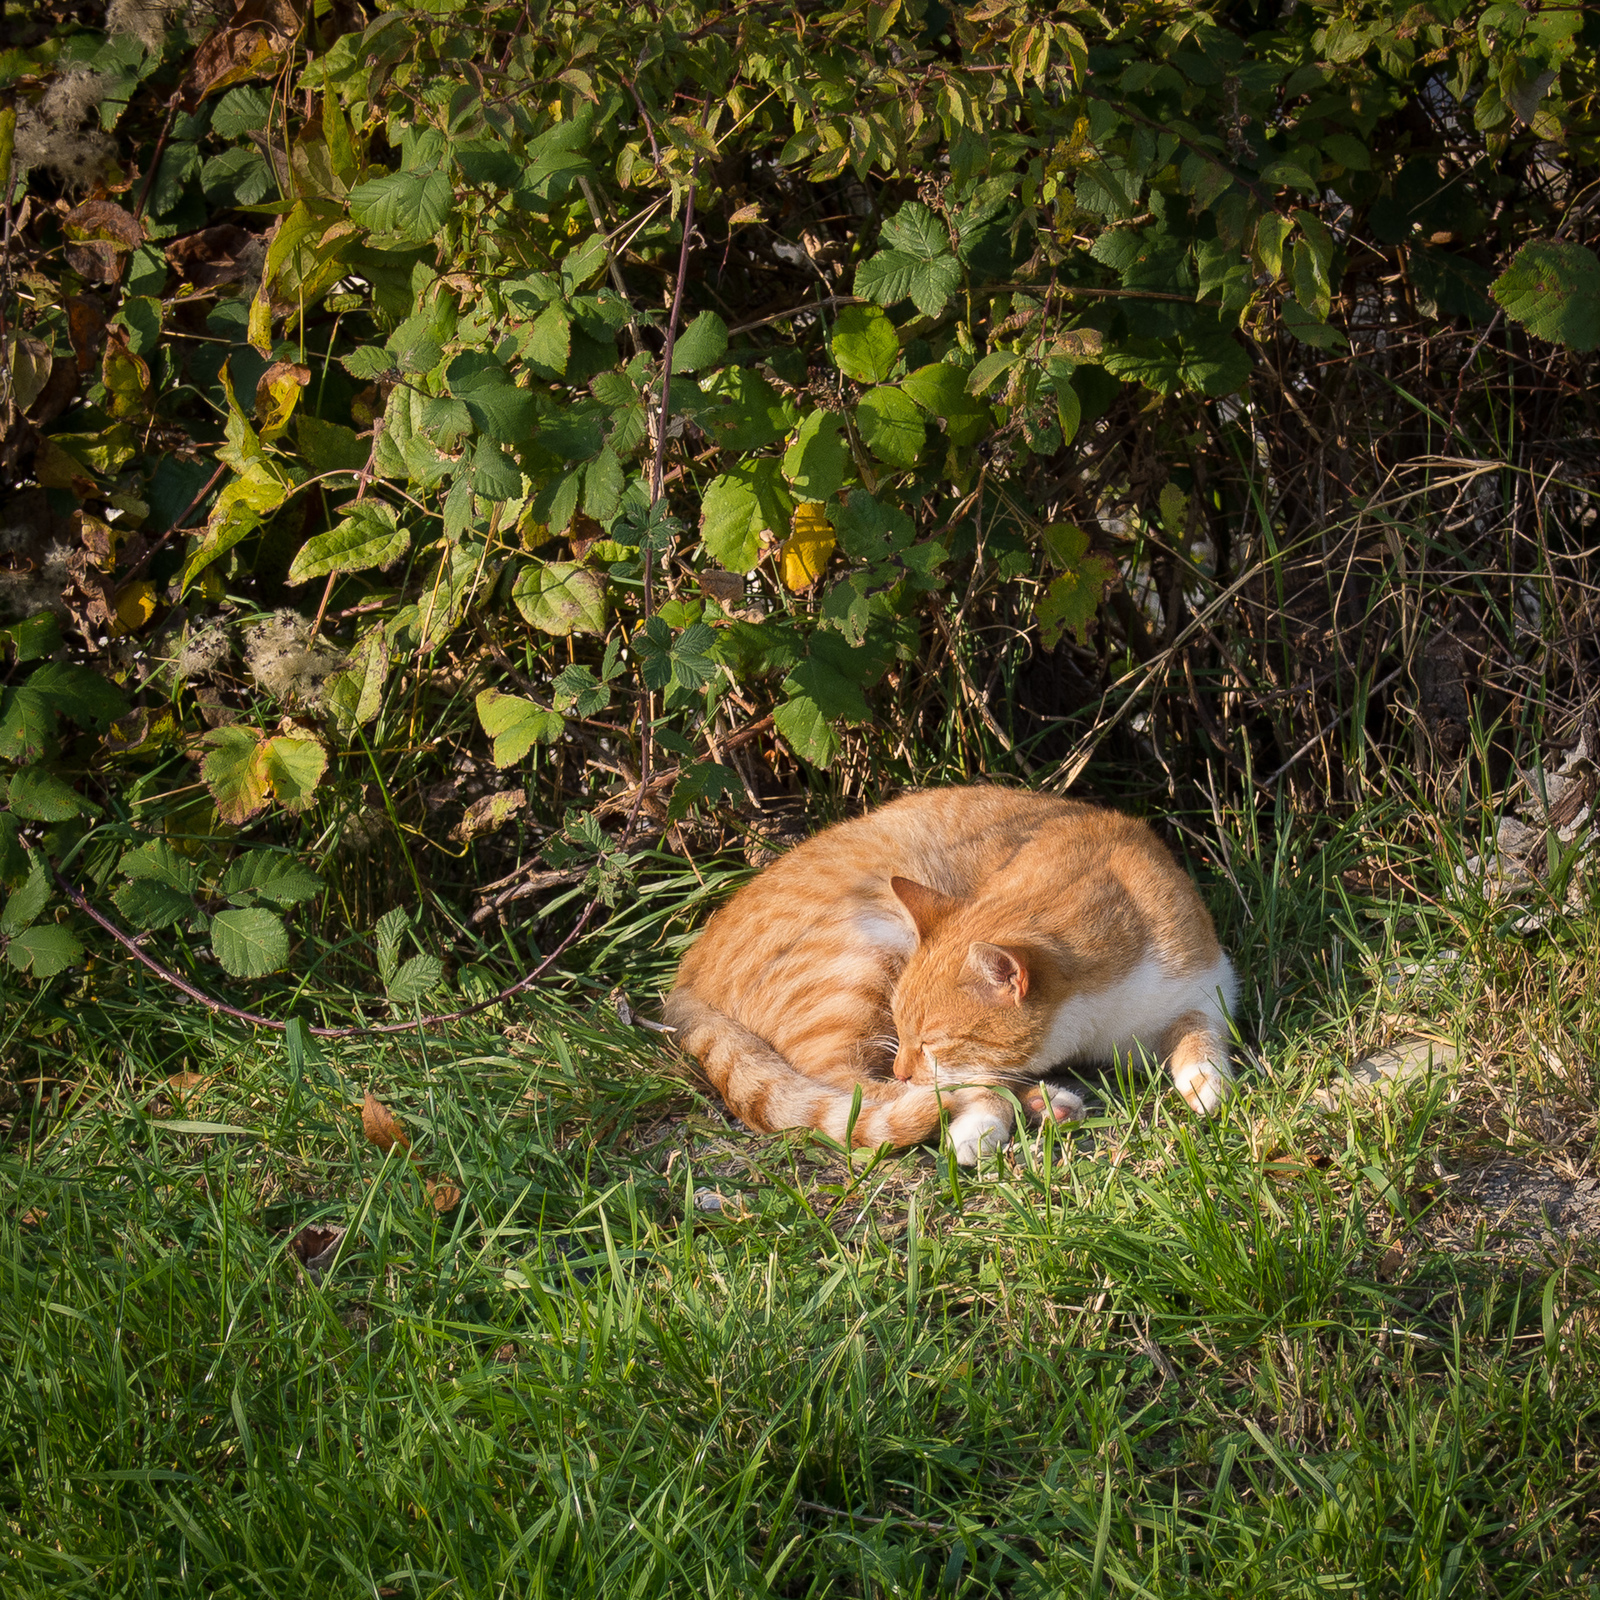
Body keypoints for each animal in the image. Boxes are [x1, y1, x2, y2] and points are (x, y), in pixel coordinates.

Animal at [662, 787, 1235, 1164]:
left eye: (932, 1040)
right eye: (899, 1025)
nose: (903, 1071)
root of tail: (685, 976)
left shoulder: (1208, 983)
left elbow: (1200, 1033)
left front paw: (1205, 1082)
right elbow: (976, 1083)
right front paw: (978, 1127)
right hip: (858, 961)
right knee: (848, 1090)